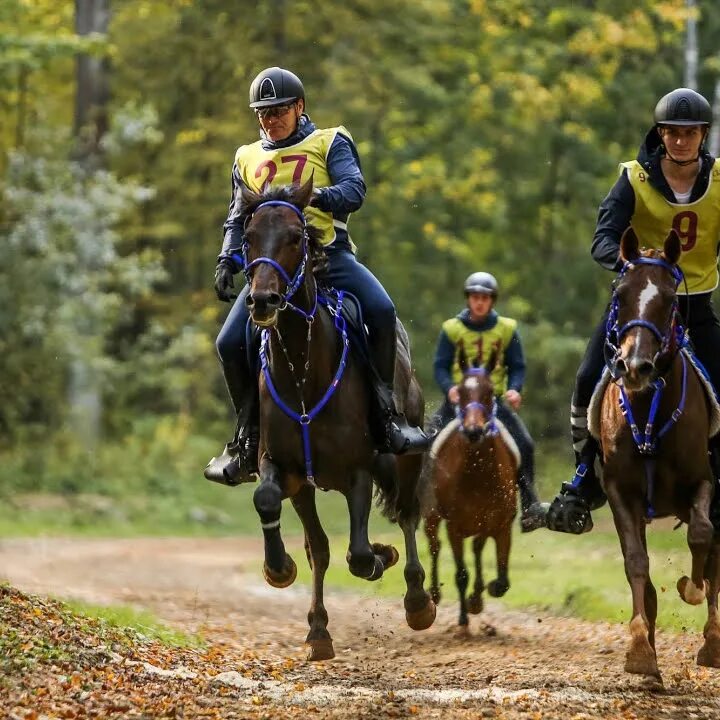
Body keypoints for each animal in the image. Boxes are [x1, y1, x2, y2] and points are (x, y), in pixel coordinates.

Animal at [239, 176, 436, 660]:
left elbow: (360, 554)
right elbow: (305, 537)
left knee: (407, 515)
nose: (263, 300)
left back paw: (417, 601)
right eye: (248, 237)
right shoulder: (286, 470)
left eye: (296, 237)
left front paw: (383, 557)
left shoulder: (358, 470)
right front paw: (287, 582)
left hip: (405, 455)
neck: (303, 370)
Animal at [422, 348, 516, 632]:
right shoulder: (454, 527)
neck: (477, 473)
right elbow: (461, 574)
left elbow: (501, 579)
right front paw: (464, 618)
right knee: (434, 546)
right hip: (431, 516)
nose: (474, 430)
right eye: (462, 392)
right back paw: (434, 594)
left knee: (476, 549)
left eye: (489, 392)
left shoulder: (500, 525)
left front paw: (481, 596)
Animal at [596, 228, 720, 676]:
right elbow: (636, 562)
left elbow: (702, 536)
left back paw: (712, 642)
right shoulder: (620, 491)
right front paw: (639, 650)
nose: (635, 367)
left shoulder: (704, 482)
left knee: (714, 553)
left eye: (669, 298)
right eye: (620, 292)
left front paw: (690, 588)